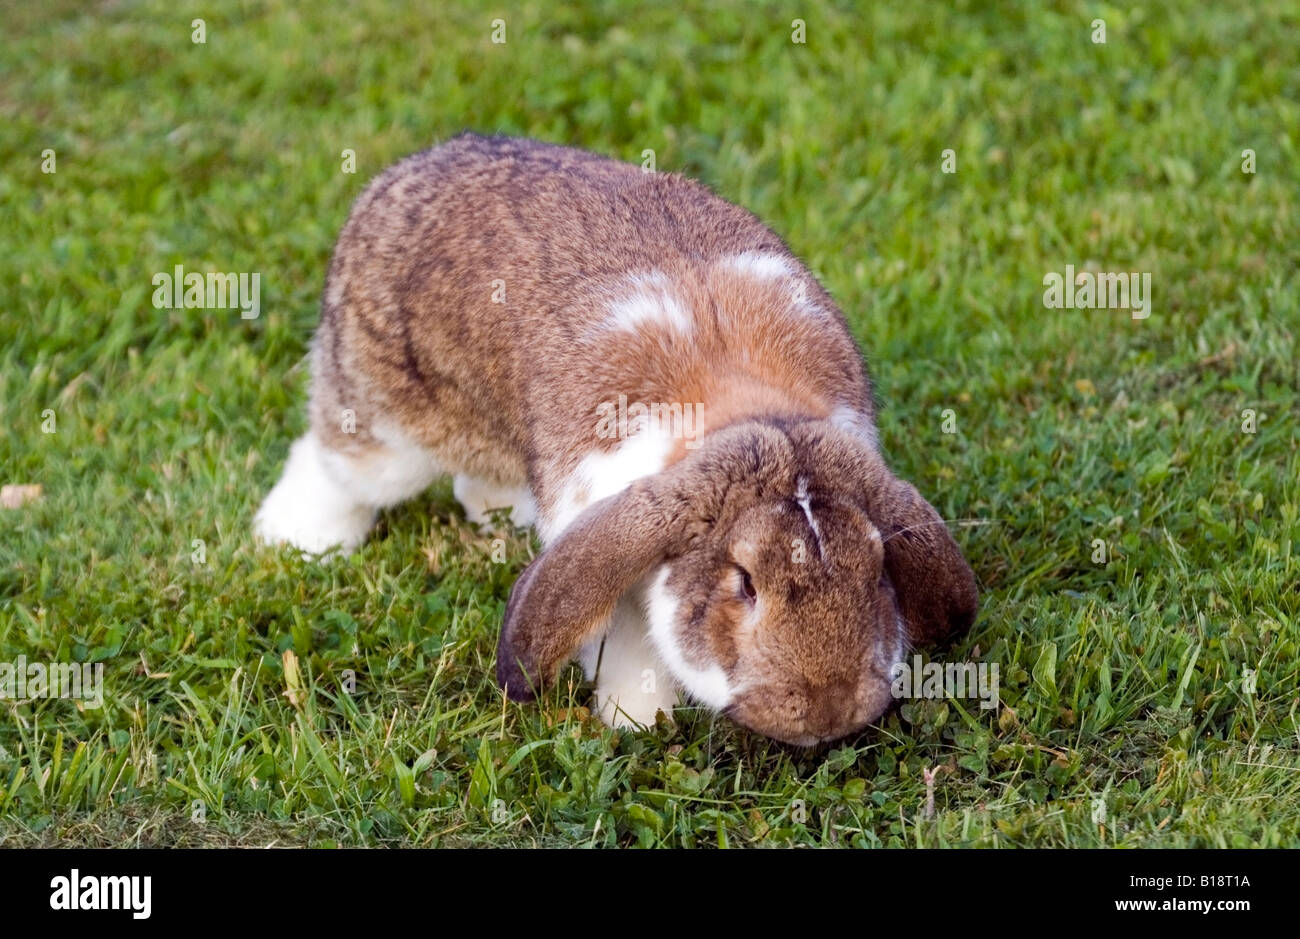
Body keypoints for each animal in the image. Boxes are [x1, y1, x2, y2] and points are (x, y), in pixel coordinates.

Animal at [256, 133, 977, 743]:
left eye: (877, 570)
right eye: (744, 581)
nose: (828, 711)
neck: (758, 415)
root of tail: (407, 172)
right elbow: (631, 647)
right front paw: (639, 720)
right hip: (383, 419)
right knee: (331, 461)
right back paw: (297, 537)